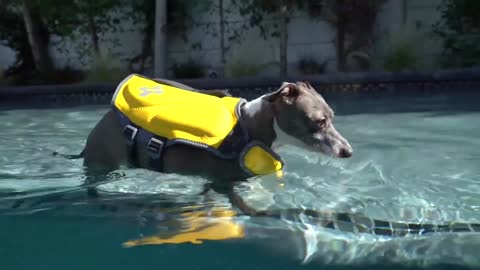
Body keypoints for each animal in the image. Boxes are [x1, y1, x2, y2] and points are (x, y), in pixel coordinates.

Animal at [81, 75, 352, 216]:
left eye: (332, 116)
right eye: (319, 121)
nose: (348, 151)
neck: (250, 127)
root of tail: (104, 118)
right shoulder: (223, 183)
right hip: (103, 158)